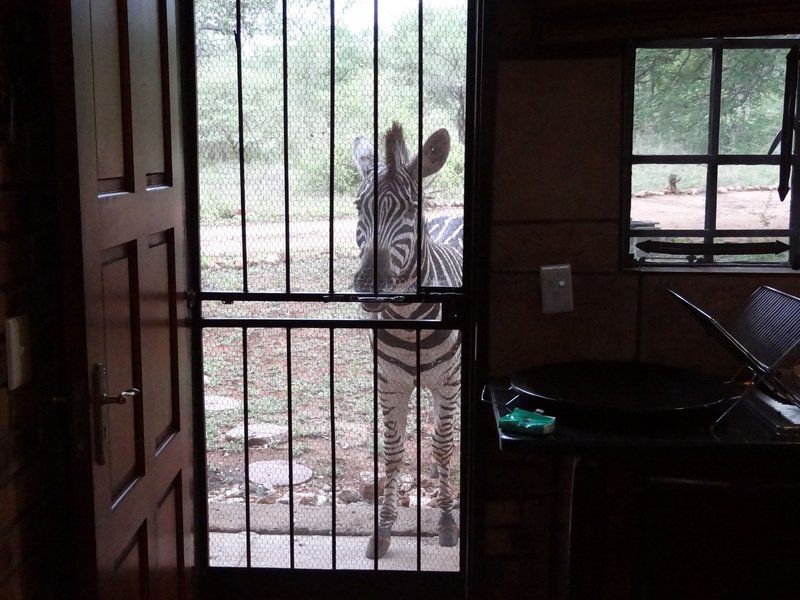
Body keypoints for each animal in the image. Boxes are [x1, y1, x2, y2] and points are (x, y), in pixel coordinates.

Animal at [350, 122, 462, 556]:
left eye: (411, 211)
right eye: (358, 208)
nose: (369, 288)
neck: (408, 317)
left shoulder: (447, 380)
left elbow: (444, 444)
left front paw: (447, 521)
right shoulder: (390, 383)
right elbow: (394, 452)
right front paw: (382, 530)